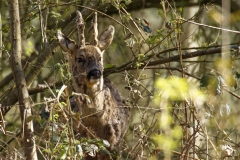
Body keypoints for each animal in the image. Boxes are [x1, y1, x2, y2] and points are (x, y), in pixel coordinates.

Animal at [57, 10, 129, 159]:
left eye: (100, 57)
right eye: (80, 58)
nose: (96, 72)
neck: (94, 122)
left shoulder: (114, 145)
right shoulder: (79, 143)